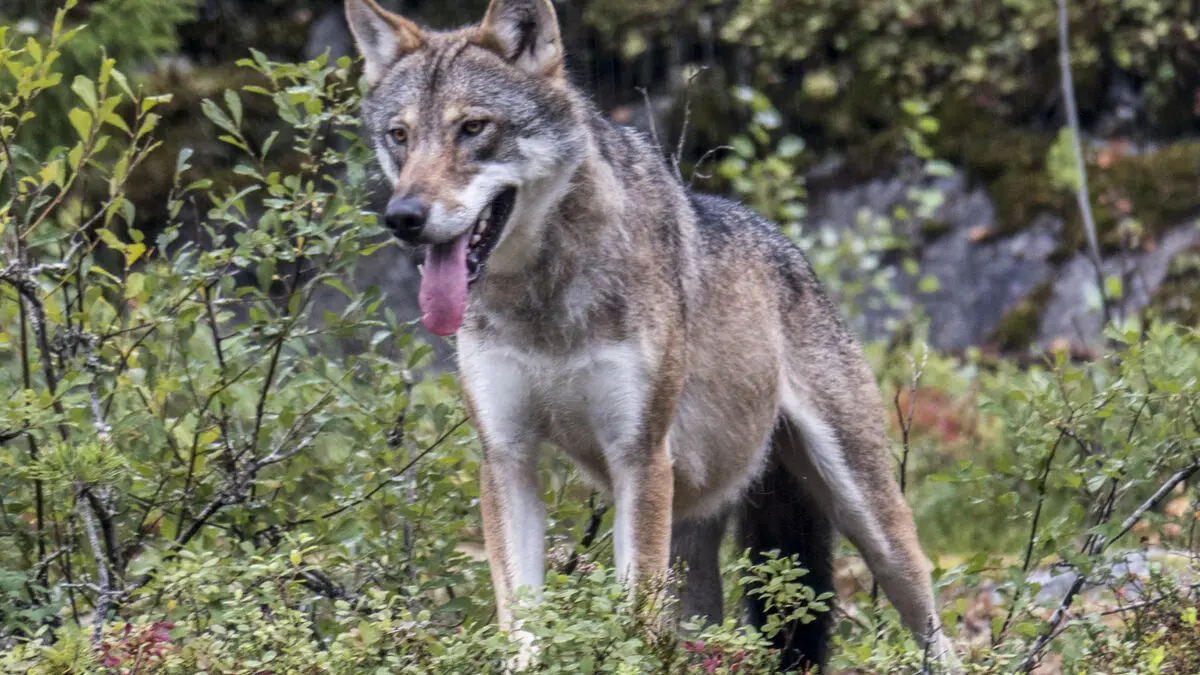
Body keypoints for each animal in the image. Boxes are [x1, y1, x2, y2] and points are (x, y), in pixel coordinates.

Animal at [345, 0, 956, 669]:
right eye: (400, 136)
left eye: (473, 128)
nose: (403, 218)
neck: (542, 302)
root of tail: (790, 248)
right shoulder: (507, 457)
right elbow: (522, 621)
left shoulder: (637, 457)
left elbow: (631, 621)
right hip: (695, 549)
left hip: (869, 520)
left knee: (932, 623)